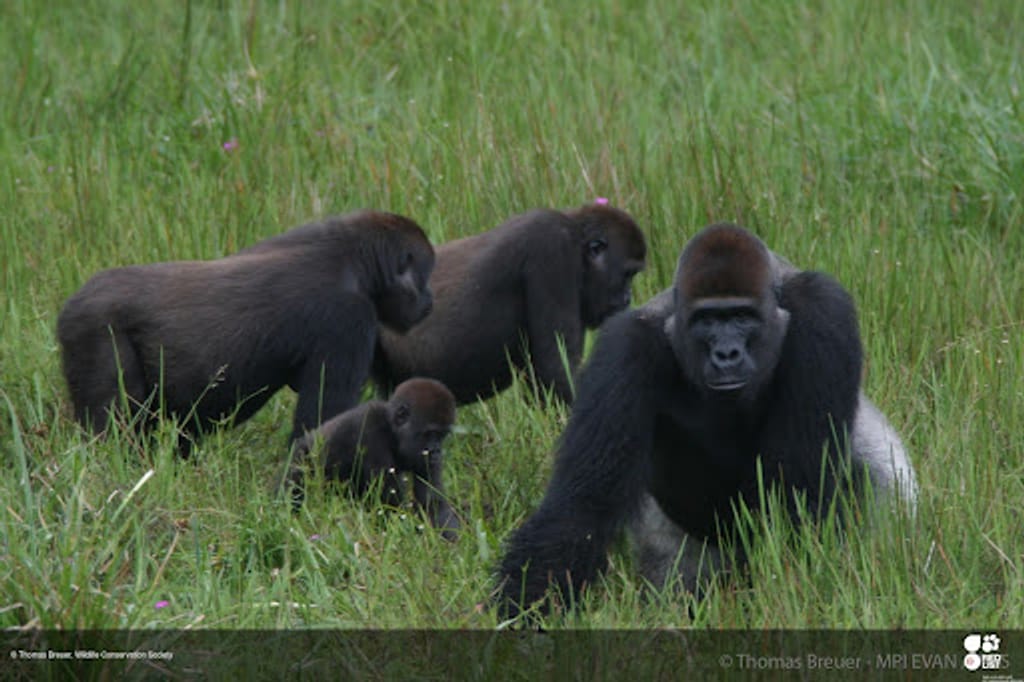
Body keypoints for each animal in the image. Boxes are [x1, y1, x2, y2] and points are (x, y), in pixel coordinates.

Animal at [57, 209, 432, 448]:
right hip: (94, 329)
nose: (429, 300)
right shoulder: (349, 320)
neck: (354, 255)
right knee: (113, 423)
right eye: (424, 277)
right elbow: (321, 423)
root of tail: (72, 303)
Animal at [278, 376, 458, 536]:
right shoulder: (371, 433)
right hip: (300, 458)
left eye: (442, 435)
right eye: (429, 434)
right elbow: (389, 506)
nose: (436, 451)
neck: (391, 430)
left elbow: (433, 503)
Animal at [495, 224, 921, 614]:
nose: (726, 354)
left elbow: (798, 489)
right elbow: (583, 505)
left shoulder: (824, 311)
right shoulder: (625, 346)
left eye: (742, 316)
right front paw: (525, 608)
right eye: (706, 320)